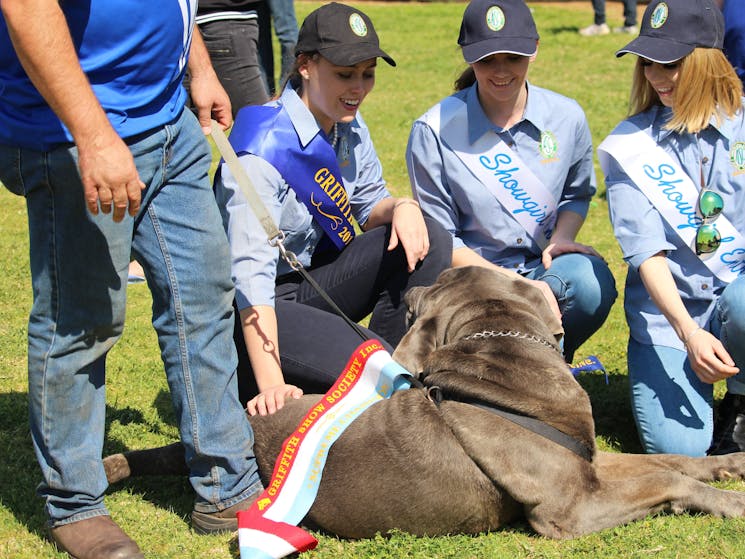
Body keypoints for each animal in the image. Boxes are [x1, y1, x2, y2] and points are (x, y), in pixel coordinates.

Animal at [103, 270, 744, 540]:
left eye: (434, 284)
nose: (409, 288)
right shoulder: (570, 510)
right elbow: (668, 480)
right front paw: (729, 502)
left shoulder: (587, 462)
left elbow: (672, 463)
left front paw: (729, 466)